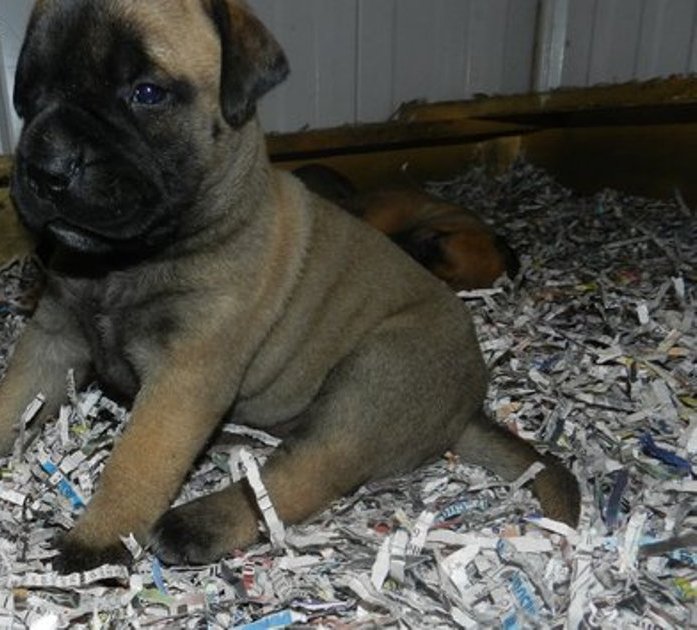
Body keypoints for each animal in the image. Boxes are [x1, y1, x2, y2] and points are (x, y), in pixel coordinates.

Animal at [0, 0, 576, 572]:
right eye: (28, 95)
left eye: (146, 93)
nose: (46, 169)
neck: (126, 265)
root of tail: (466, 409)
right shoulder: (52, 339)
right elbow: (14, 399)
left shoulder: (185, 374)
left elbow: (139, 460)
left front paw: (98, 540)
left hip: (374, 378)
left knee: (308, 472)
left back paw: (198, 524)